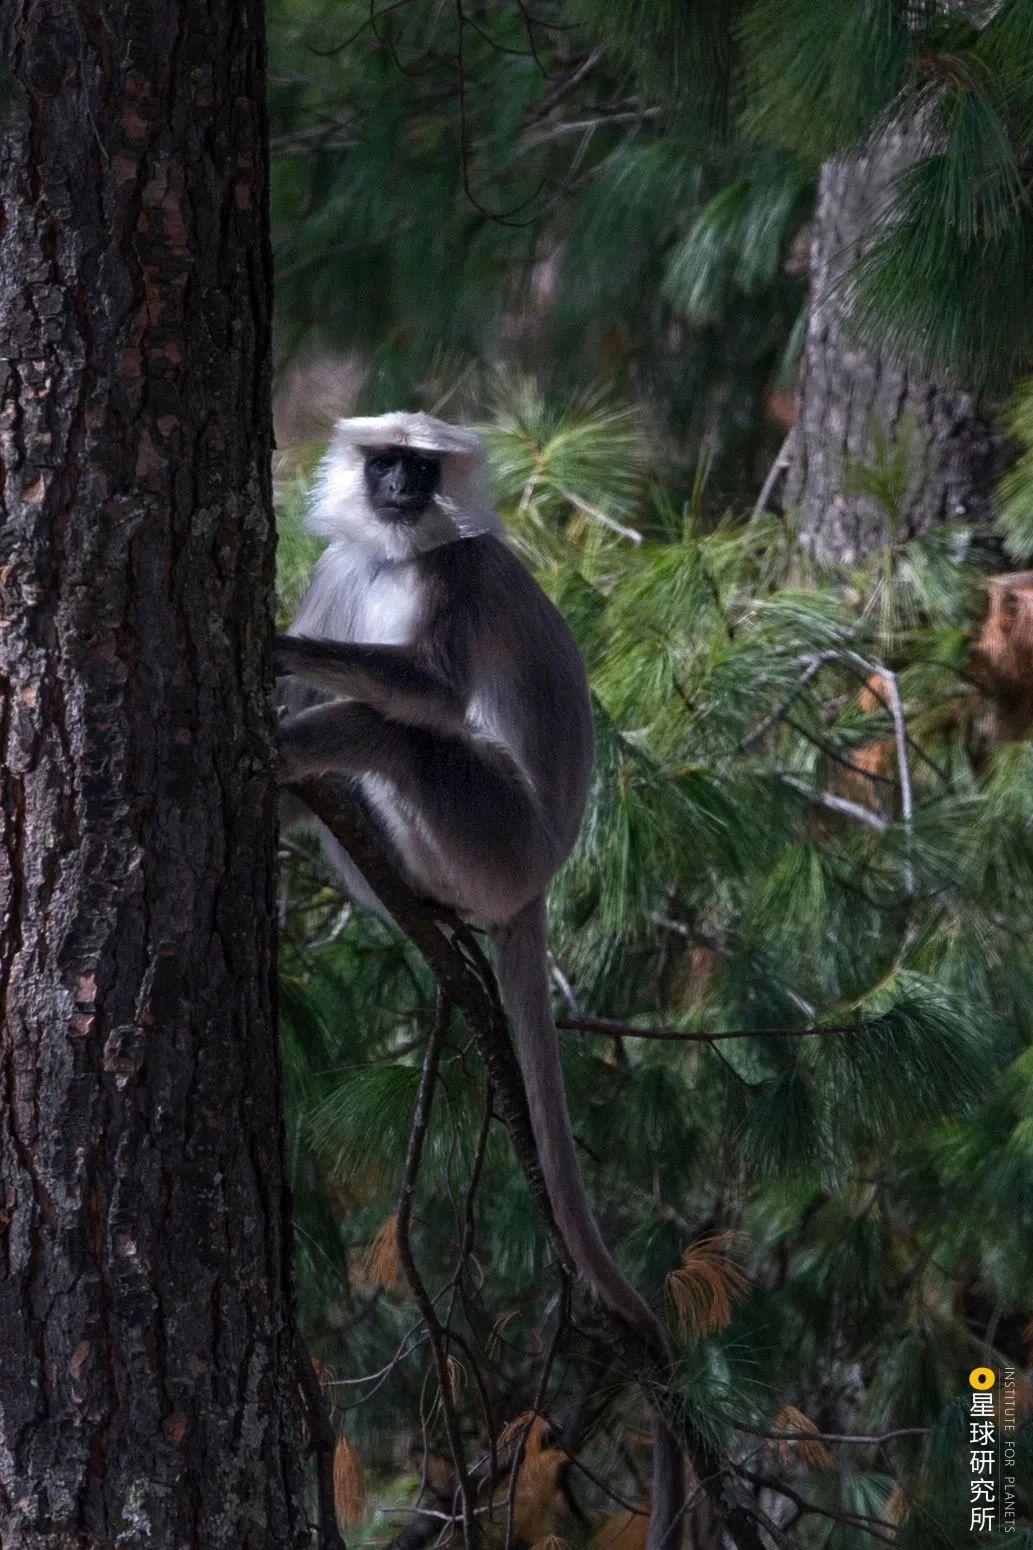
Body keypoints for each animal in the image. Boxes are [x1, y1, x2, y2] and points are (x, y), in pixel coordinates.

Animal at [272, 412, 682, 1550]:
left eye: (421, 464)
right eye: (384, 462)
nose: (401, 488)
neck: (394, 555)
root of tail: (535, 875)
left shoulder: (455, 575)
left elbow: (428, 690)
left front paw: (271, 655)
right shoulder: (342, 564)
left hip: (484, 826)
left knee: (389, 733)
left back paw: (285, 764)